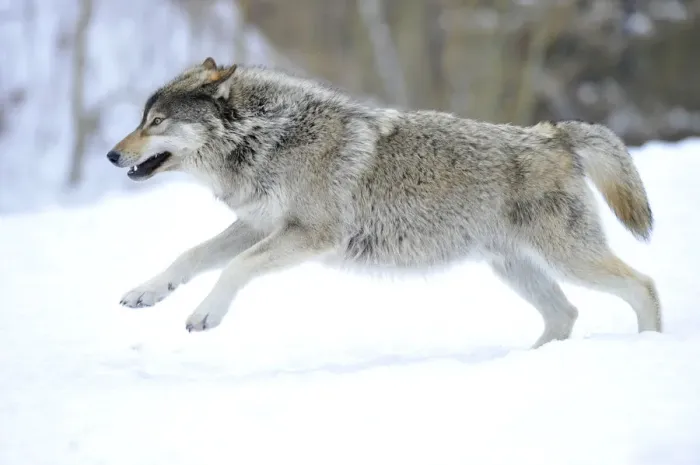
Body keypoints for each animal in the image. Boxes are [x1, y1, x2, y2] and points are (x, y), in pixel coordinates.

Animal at [106, 57, 661, 348]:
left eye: (156, 122)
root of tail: (554, 134)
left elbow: (234, 269)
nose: (112, 155)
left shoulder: (307, 235)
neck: (270, 138)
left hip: (568, 259)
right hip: (514, 268)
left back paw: (650, 346)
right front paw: (146, 292)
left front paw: (206, 315)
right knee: (564, 314)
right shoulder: (258, 226)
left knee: (644, 286)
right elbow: (191, 256)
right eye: (142, 120)